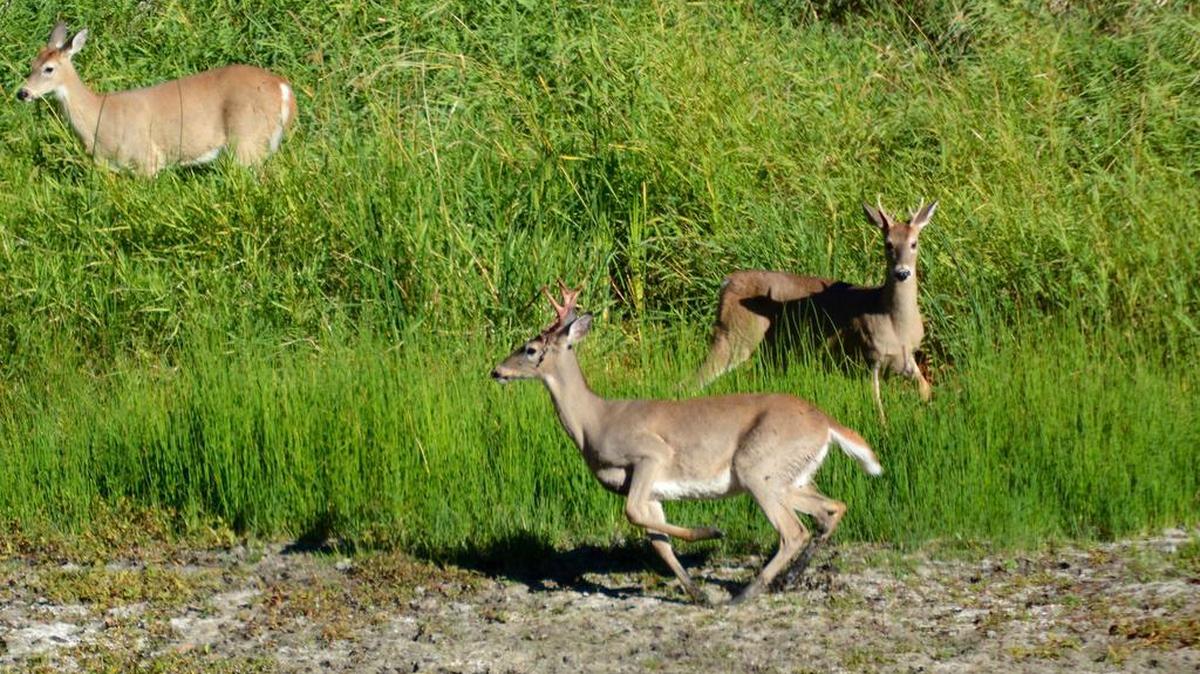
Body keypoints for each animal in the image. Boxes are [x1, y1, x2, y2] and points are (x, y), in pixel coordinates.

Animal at [16, 22, 297, 176]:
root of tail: (283, 88)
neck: (99, 117)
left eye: (49, 68)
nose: (23, 93)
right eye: (31, 64)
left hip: (247, 140)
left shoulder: (146, 159)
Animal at [491, 282, 883, 605]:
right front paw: (697, 593)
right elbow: (658, 542)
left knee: (793, 531)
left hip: (758, 468)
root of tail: (826, 422)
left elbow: (633, 514)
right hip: (791, 476)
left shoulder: (650, 454)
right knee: (831, 509)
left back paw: (746, 594)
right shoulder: (650, 490)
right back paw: (787, 580)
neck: (595, 422)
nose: (496, 371)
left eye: (530, 349)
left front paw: (712, 531)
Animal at [693, 201, 938, 424]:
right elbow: (877, 406)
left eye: (914, 243)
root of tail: (727, 282)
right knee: (698, 377)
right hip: (737, 333)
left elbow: (926, 389)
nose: (902, 273)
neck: (893, 322)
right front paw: (884, 429)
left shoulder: (906, 357)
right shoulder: (869, 354)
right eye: (888, 244)